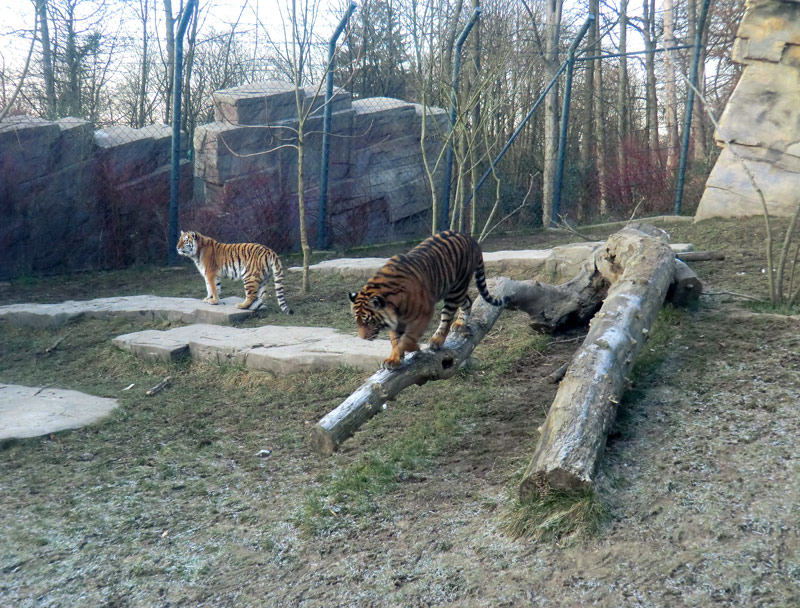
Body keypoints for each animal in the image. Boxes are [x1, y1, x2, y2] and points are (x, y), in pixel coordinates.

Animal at [346, 229, 504, 368]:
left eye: (368, 321)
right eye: (357, 321)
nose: (363, 338)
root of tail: (471, 239)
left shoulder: (423, 313)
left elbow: (408, 338)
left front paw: (412, 349)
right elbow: (395, 340)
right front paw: (394, 359)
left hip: (455, 290)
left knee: (447, 318)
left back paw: (437, 340)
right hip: (454, 290)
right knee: (467, 301)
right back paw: (460, 324)